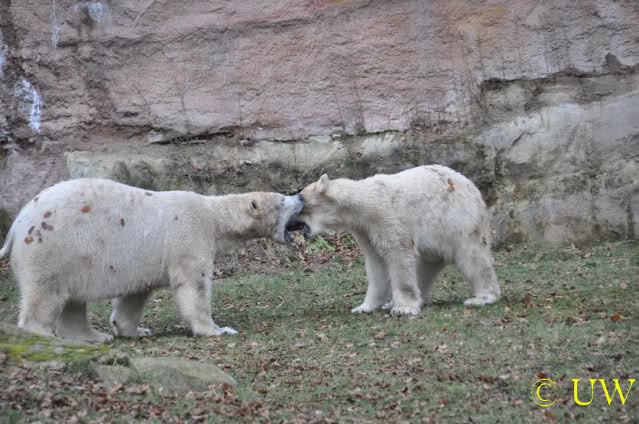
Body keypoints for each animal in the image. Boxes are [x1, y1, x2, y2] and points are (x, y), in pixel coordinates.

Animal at [0, 178, 304, 342]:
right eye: (282, 200)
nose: (300, 196)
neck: (213, 215)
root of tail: (16, 226)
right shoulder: (190, 235)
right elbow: (194, 285)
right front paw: (217, 329)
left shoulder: (143, 262)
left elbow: (134, 296)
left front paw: (135, 329)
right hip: (52, 247)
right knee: (46, 293)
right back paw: (42, 334)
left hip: (72, 257)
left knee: (72, 301)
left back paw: (95, 336)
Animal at [290, 165, 500, 315]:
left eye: (299, 201)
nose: (288, 225)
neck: (361, 203)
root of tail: (473, 187)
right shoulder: (365, 229)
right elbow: (376, 264)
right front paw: (364, 307)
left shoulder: (385, 217)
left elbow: (398, 253)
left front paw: (403, 308)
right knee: (427, 265)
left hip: (459, 219)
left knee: (472, 256)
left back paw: (483, 297)